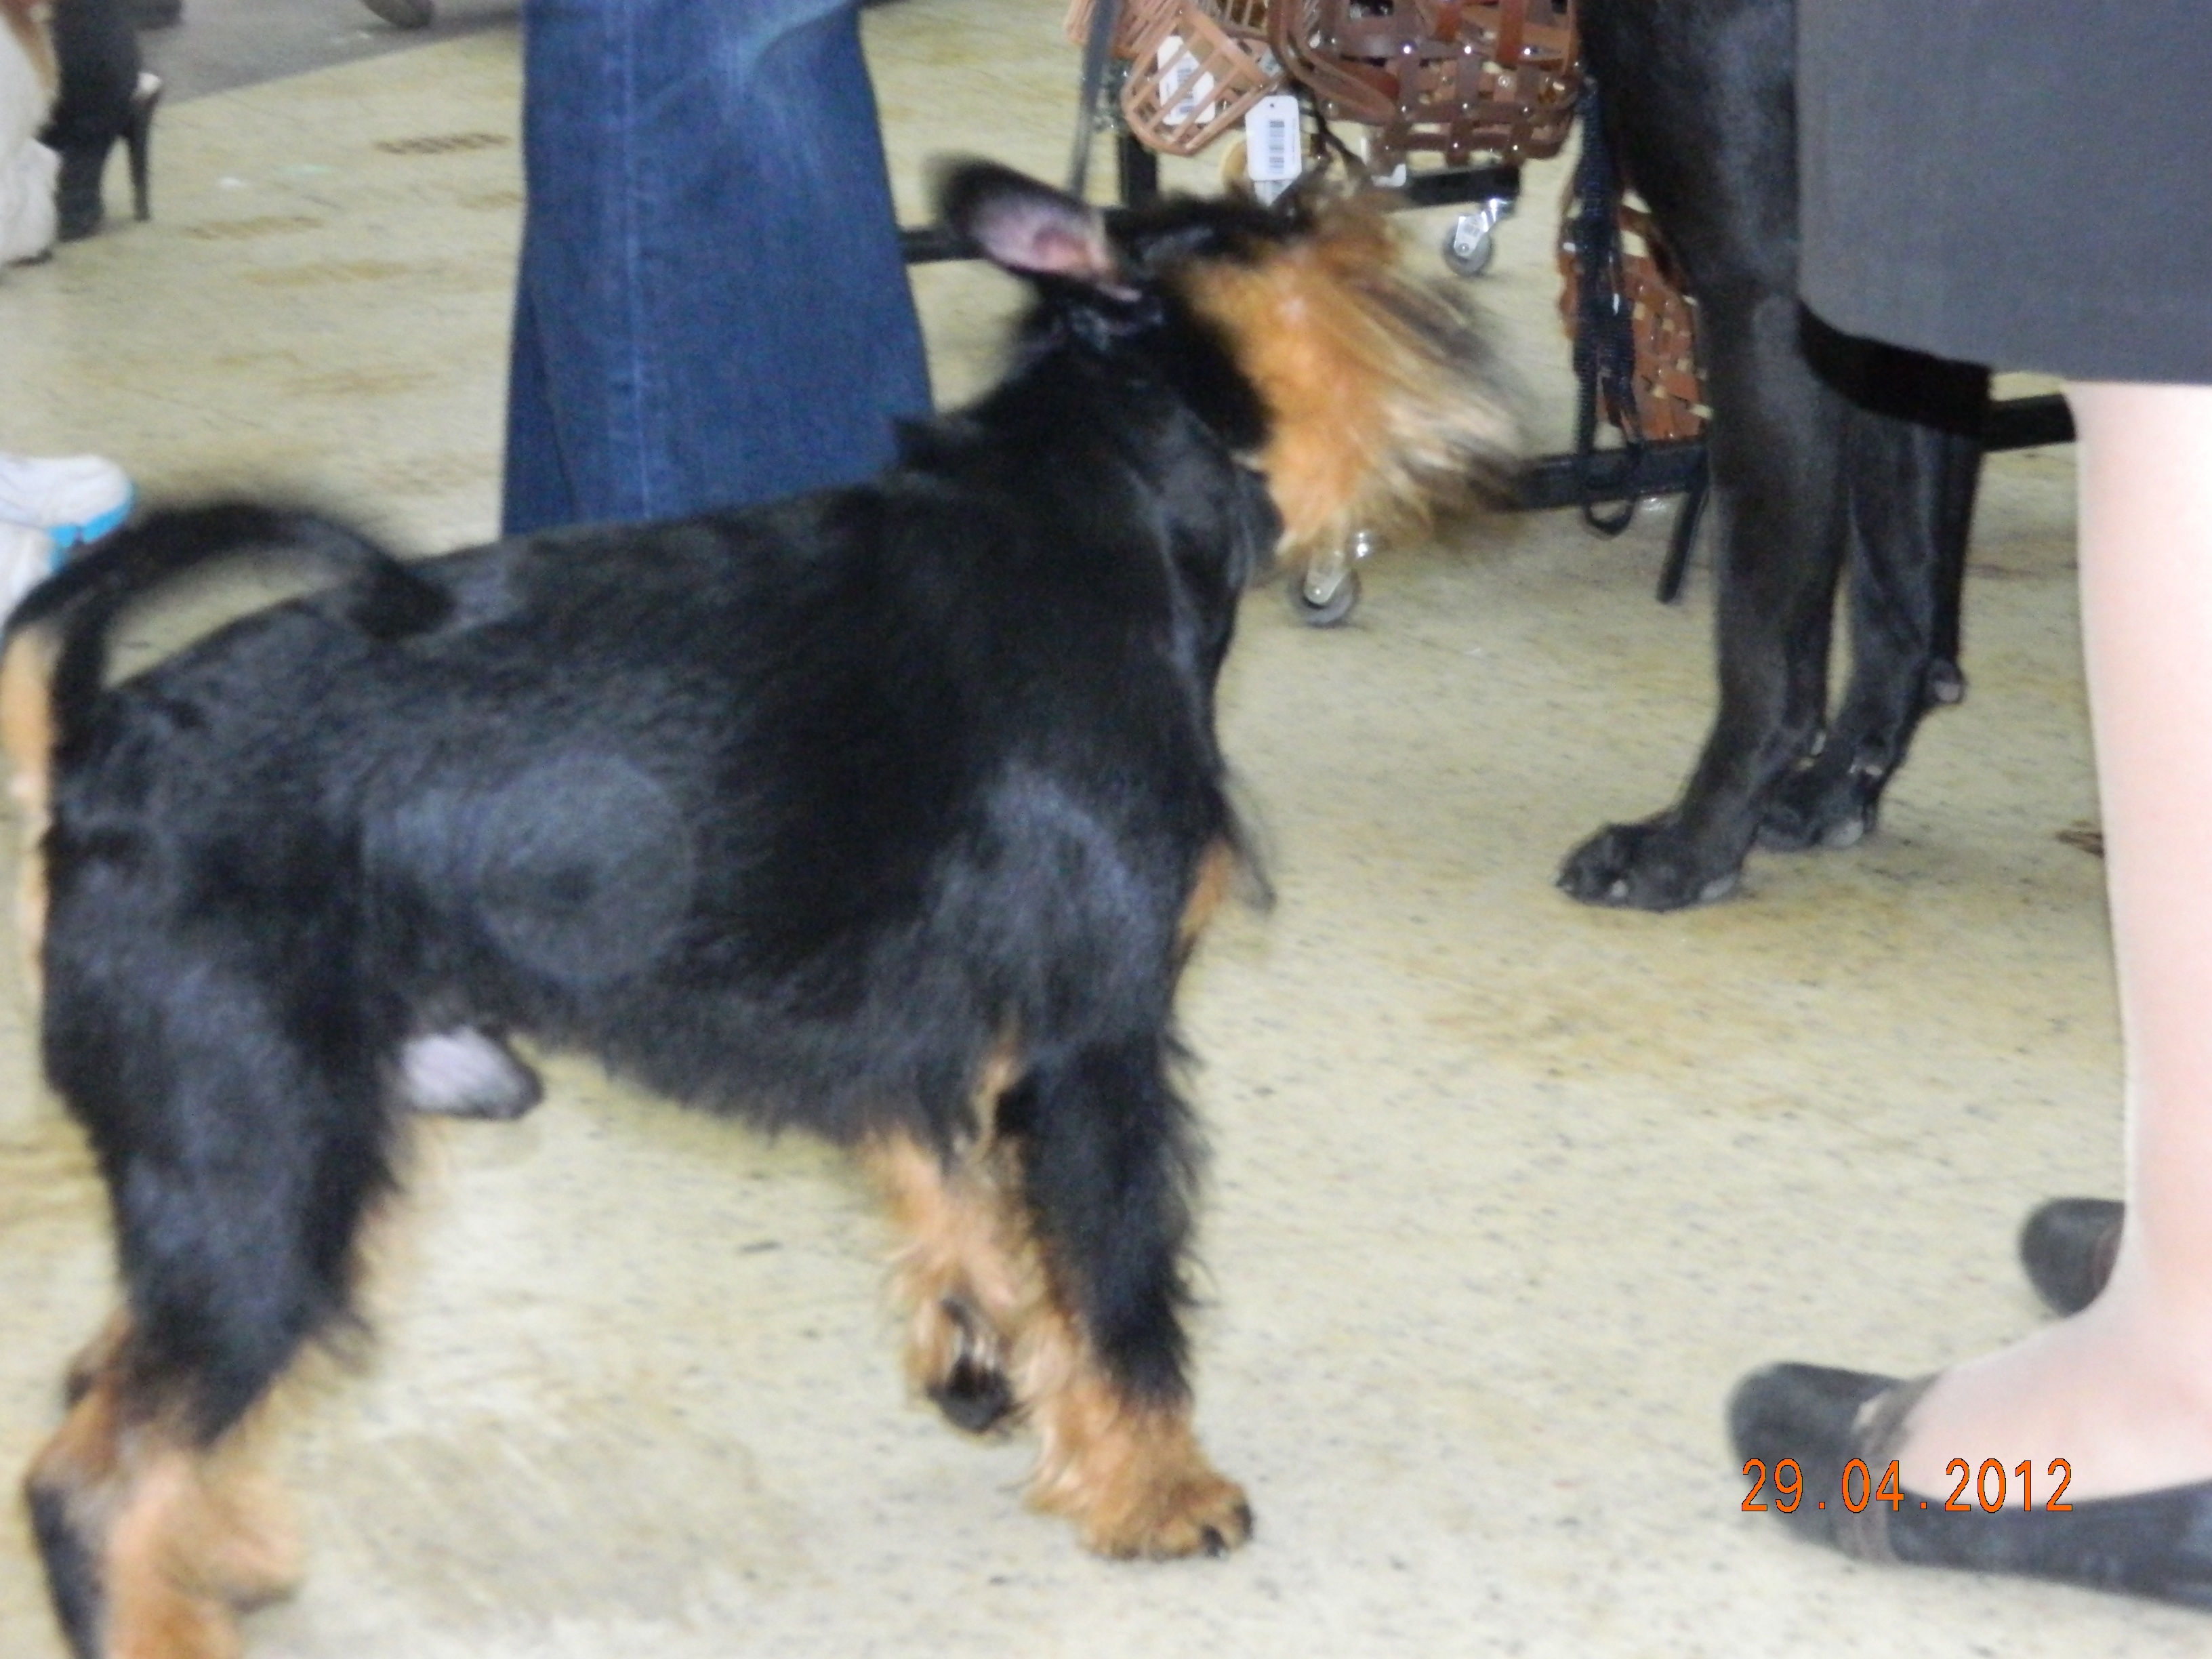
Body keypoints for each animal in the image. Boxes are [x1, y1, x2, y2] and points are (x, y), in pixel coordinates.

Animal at [5, 160, 1507, 1657]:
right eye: (1283, 228)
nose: (1367, 193)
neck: (1109, 492)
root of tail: (93, 753)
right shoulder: (1098, 1045)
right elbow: (1118, 1278)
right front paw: (1154, 1486)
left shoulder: (934, 1043)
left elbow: (966, 1212)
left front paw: (988, 1364)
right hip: (267, 1167)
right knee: (94, 1466)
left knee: (118, 1393)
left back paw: (218, 1550)